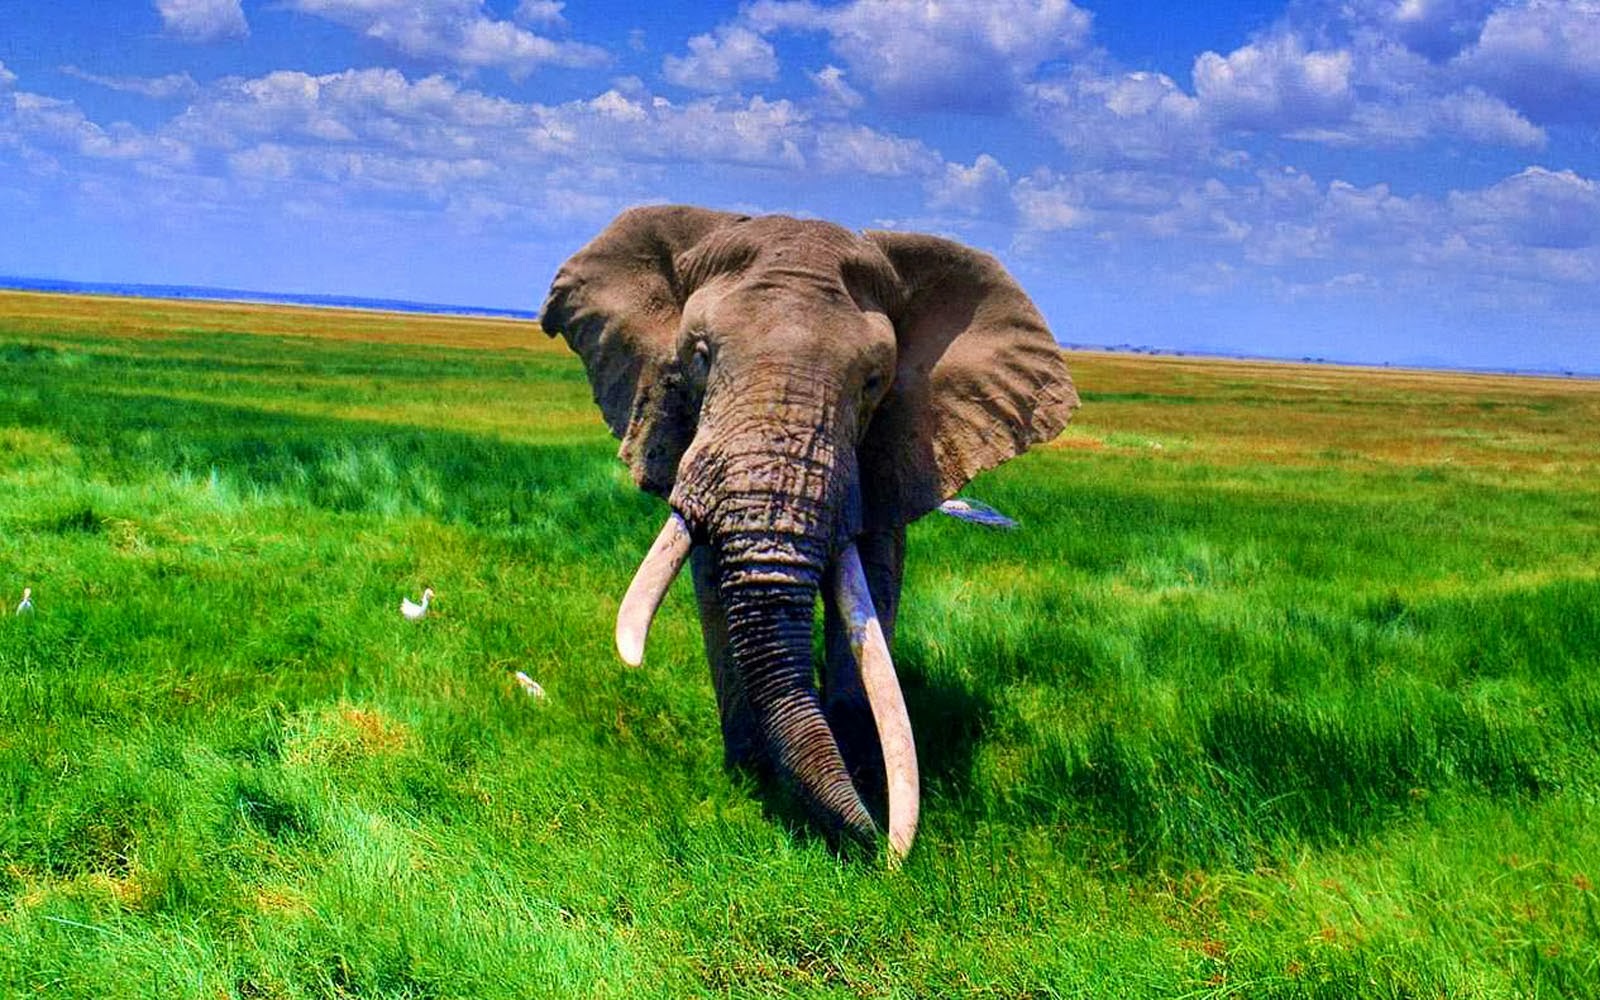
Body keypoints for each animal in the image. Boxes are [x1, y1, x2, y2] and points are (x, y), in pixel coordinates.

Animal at [541, 205, 1078, 861]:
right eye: (699, 356)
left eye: (874, 381)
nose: (883, 849)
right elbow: (712, 585)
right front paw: (751, 778)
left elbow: (874, 579)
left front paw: (863, 771)